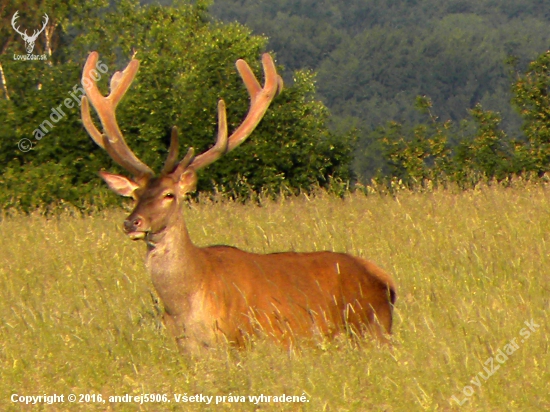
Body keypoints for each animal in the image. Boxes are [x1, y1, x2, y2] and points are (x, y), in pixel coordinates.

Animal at [81, 50, 396, 354]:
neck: (187, 308)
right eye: (134, 195)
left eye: (169, 195)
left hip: (369, 328)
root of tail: (386, 281)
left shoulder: (239, 339)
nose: (131, 222)